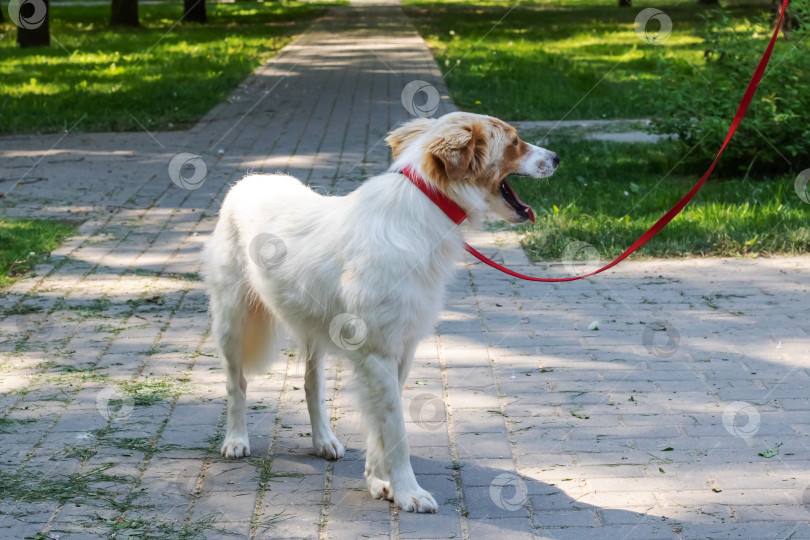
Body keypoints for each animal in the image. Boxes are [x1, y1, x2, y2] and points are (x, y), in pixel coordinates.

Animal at [202, 110, 556, 510]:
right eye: (514, 142)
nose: (558, 157)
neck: (424, 208)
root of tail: (251, 178)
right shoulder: (378, 352)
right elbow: (395, 428)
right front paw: (407, 491)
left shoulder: (400, 351)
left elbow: (380, 426)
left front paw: (379, 479)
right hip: (232, 319)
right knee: (237, 383)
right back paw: (235, 439)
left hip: (313, 328)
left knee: (311, 384)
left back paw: (323, 440)